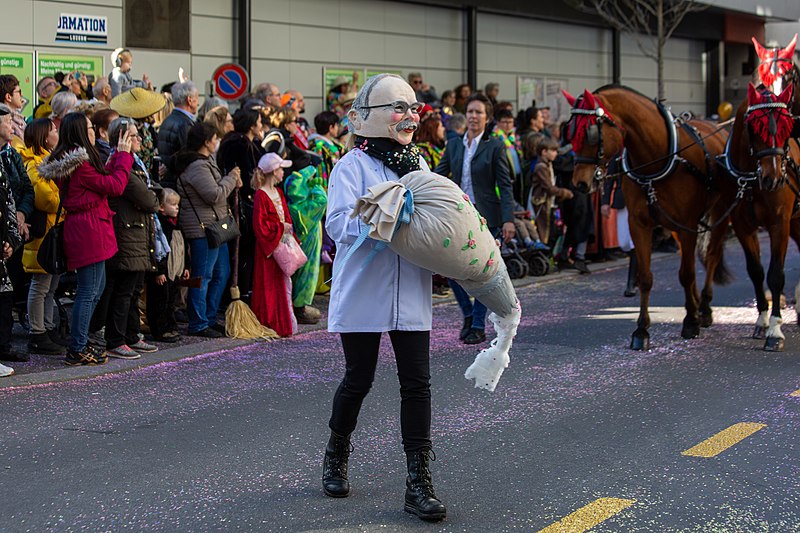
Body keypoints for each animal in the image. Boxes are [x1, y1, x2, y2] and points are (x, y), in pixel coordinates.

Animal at [564, 87, 732, 350]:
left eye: (591, 134)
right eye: (570, 133)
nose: (580, 183)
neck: (660, 155)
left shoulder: (687, 225)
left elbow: (686, 274)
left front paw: (690, 322)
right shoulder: (639, 225)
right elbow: (645, 277)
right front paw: (641, 330)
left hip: (719, 215)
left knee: (711, 256)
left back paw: (703, 308)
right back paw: (695, 304)